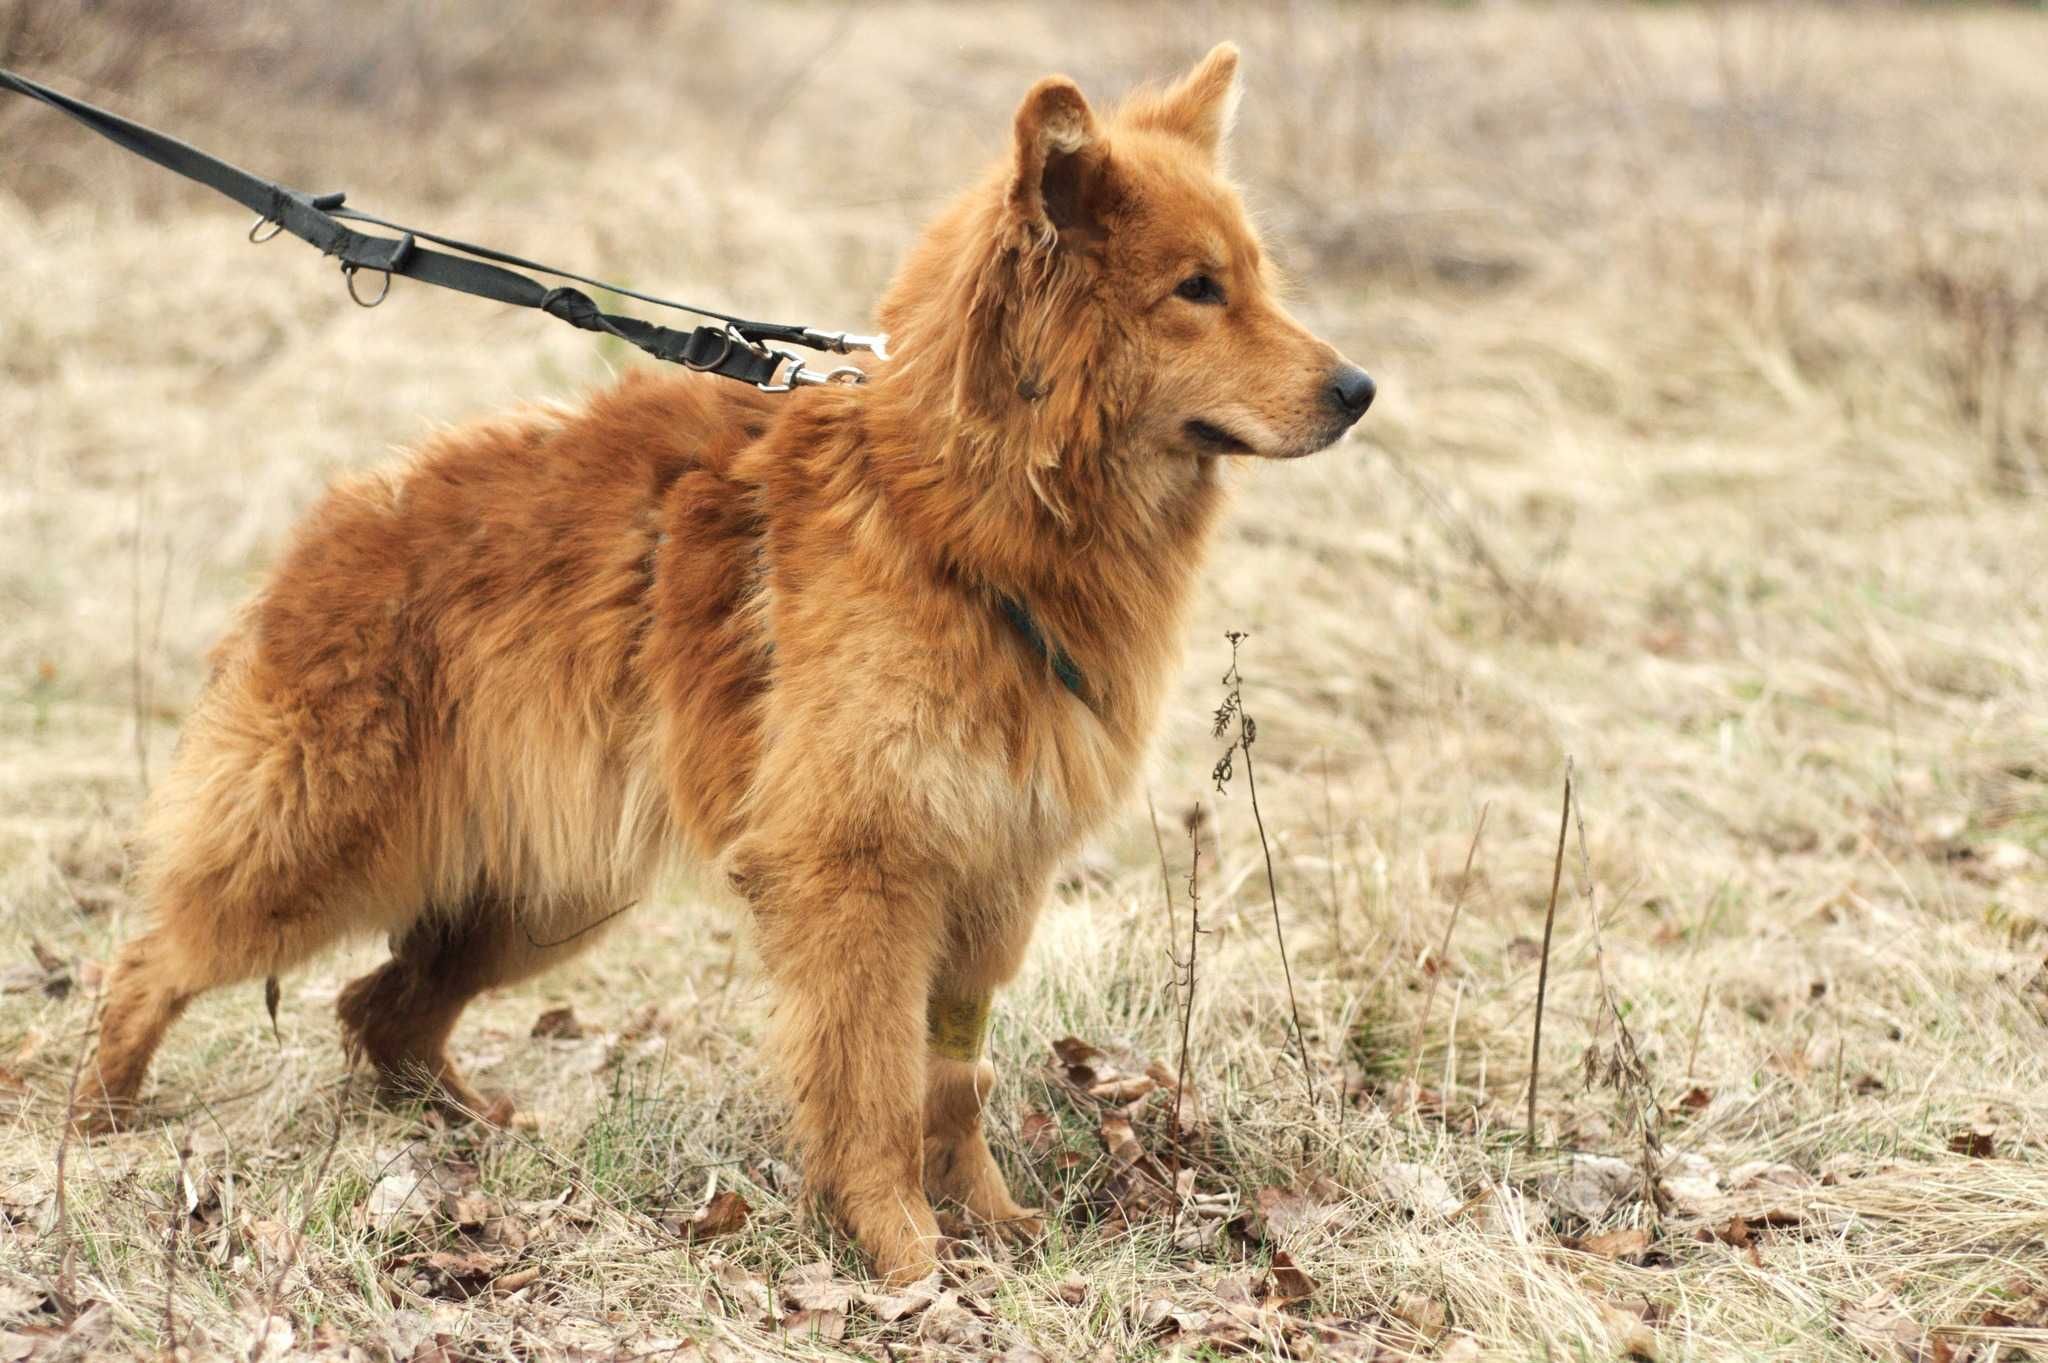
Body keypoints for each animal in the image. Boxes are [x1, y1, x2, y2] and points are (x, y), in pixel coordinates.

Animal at [88, 42, 1384, 1277]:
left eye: (1253, 278)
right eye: (1195, 290)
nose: (1360, 388)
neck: (951, 512)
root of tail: (333, 525)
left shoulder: (987, 872)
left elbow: (949, 1079)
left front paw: (991, 1222)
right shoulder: (859, 875)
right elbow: (870, 1082)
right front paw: (904, 1253)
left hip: (541, 894)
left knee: (379, 1008)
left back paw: (469, 1130)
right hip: (319, 848)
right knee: (155, 958)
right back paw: (97, 1121)